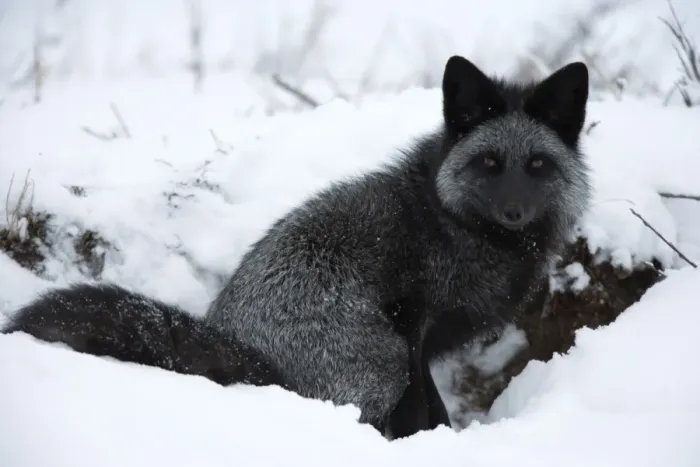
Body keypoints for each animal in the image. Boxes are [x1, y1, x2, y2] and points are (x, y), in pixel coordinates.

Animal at [205, 55, 592, 439]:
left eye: (538, 163)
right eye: (489, 161)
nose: (514, 211)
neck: (452, 225)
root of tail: (233, 340)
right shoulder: (411, 321)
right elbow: (420, 408)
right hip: (385, 362)